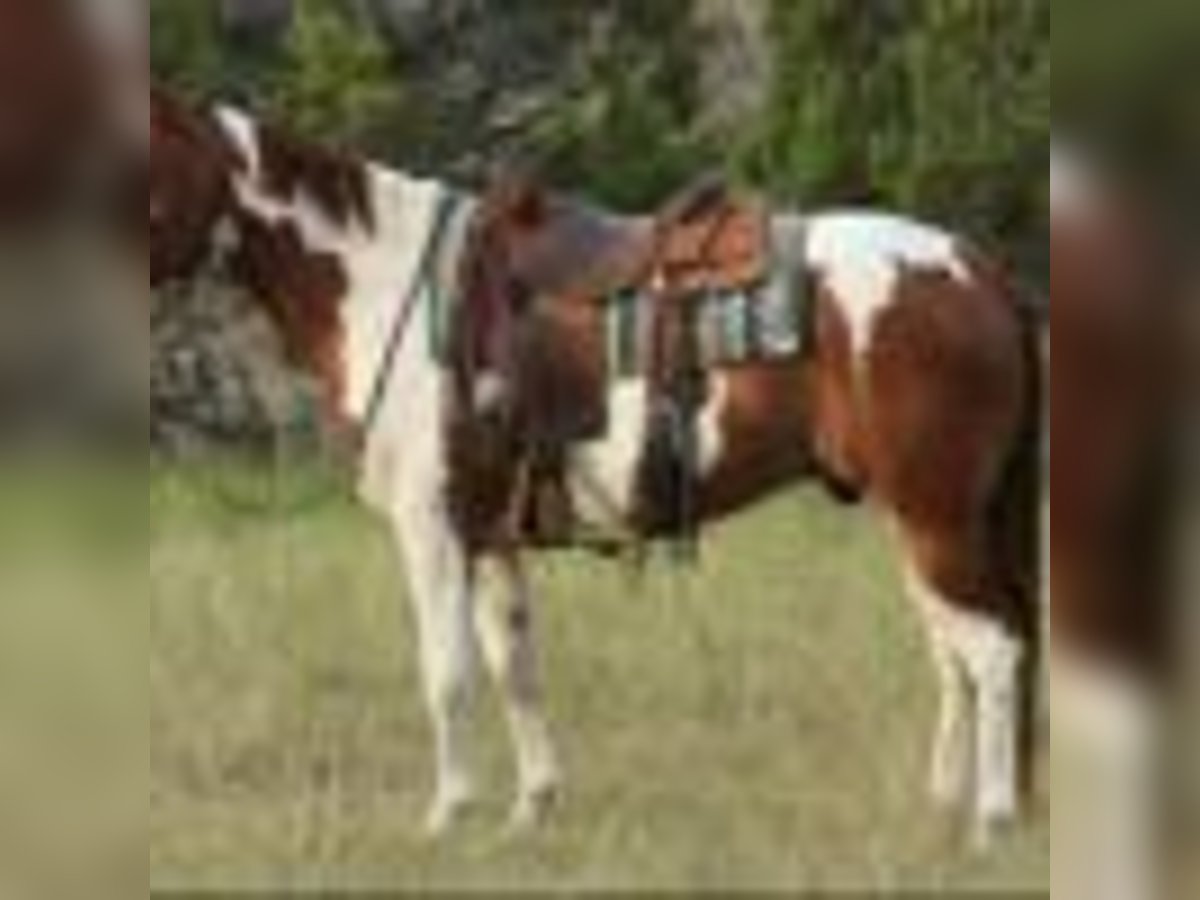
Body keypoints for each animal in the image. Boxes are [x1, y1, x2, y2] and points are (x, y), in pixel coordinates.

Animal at [148, 88, 1042, 845]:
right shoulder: (490, 536)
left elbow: (447, 672)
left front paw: (448, 815)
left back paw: (992, 822)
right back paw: (943, 808)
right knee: (954, 654)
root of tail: (976, 271)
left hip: (937, 517)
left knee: (992, 650)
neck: (385, 280)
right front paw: (531, 809)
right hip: (918, 519)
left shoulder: (430, 527)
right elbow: (512, 665)